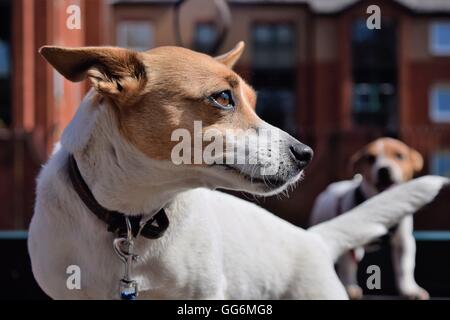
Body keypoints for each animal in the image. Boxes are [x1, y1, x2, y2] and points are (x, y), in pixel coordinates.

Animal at [312, 138, 428, 300]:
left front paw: (410, 290)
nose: (384, 170)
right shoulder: (348, 242)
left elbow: (405, 266)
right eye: (370, 159)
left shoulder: (404, 241)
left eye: (399, 156)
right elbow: (348, 268)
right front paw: (349, 287)